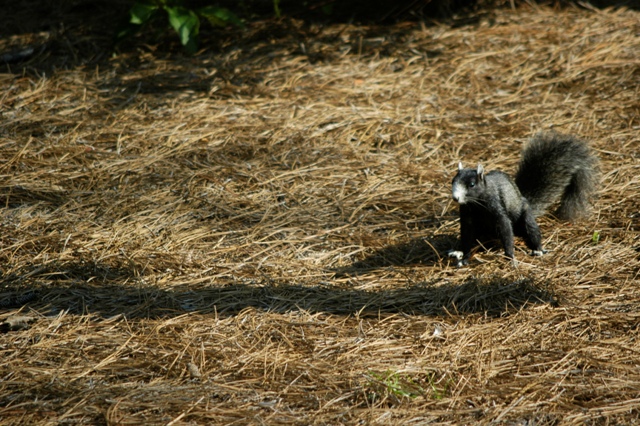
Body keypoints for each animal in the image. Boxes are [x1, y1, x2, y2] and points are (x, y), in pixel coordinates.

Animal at [449, 131, 599, 265]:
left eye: (472, 184)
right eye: (452, 181)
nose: (456, 197)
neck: (476, 204)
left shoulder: (497, 206)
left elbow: (505, 229)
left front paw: (510, 257)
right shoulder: (467, 215)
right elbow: (467, 235)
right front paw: (465, 256)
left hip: (525, 218)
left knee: (531, 230)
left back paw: (538, 250)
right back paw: (457, 251)